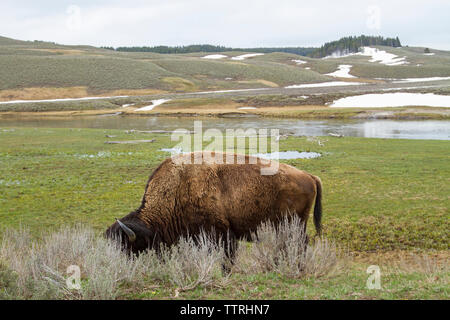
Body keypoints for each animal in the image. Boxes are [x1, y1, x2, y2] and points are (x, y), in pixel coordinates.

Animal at [106, 152, 324, 262]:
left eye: (126, 247)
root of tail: (309, 176)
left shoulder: (222, 234)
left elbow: (227, 257)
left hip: (294, 223)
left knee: (299, 243)